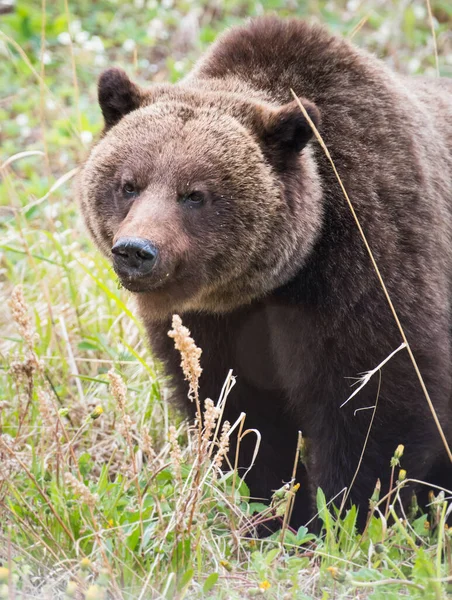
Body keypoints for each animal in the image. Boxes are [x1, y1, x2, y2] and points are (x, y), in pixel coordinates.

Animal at [78, 16, 452, 528]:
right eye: (128, 184)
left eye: (194, 193)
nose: (136, 251)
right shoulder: (212, 324)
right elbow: (238, 415)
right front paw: (276, 512)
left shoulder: (370, 267)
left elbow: (376, 404)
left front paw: (349, 512)